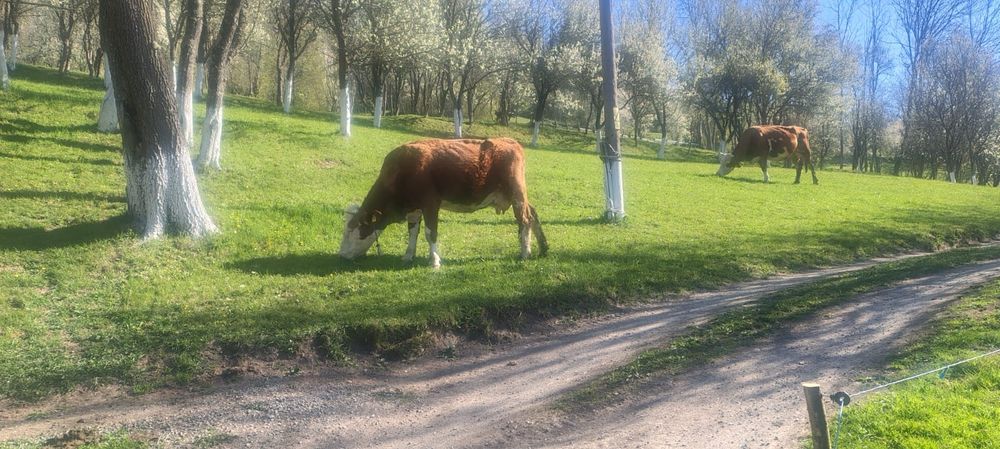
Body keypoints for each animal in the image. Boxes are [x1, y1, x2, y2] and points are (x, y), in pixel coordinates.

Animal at [338, 138, 548, 268]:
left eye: (353, 232)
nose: (341, 255)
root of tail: (509, 141)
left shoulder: (430, 203)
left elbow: (430, 233)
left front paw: (434, 261)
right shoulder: (414, 208)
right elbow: (412, 232)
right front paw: (408, 255)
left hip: (517, 193)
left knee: (525, 220)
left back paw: (525, 252)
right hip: (516, 196)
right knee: (533, 214)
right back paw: (543, 248)